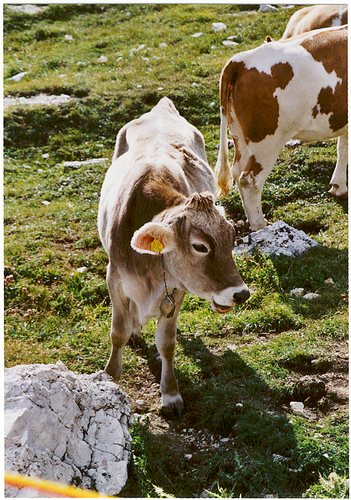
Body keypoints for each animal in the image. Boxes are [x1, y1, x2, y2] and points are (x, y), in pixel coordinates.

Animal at [216, 24, 348, 230]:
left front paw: (339, 187)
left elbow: (342, 148)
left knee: (237, 171)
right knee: (249, 180)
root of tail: (241, 60)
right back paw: (260, 225)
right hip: (267, 139)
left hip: (240, 135)